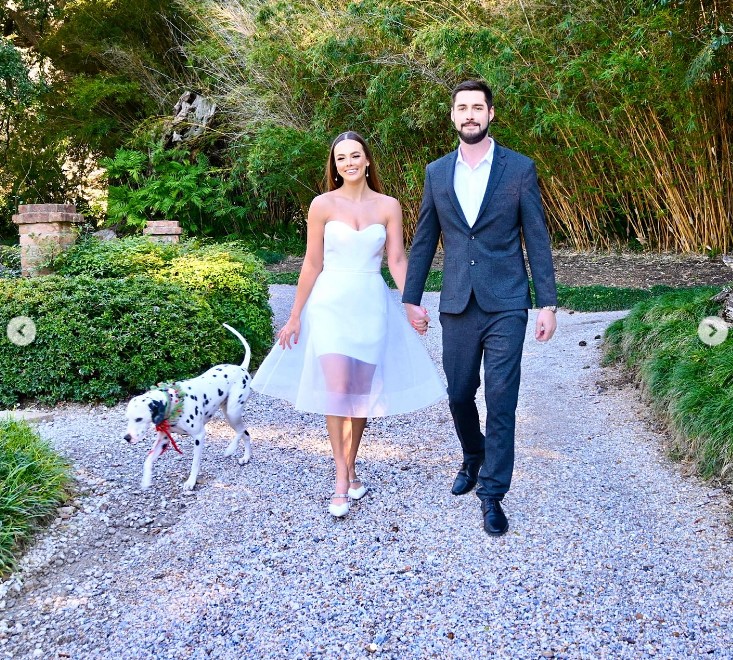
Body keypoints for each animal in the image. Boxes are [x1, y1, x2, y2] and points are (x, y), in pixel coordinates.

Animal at [124, 324, 253, 490]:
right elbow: (147, 461)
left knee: (242, 431)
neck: (173, 402)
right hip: (229, 414)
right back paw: (245, 457)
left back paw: (230, 449)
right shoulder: (164, 440)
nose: (127, 438)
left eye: (139, 419)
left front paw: (191, 482)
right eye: (128, 418)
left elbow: (195, 464)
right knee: (245, 433)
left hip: (232, 412)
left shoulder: (199, 436)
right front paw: (146, 481)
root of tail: (241, 368)